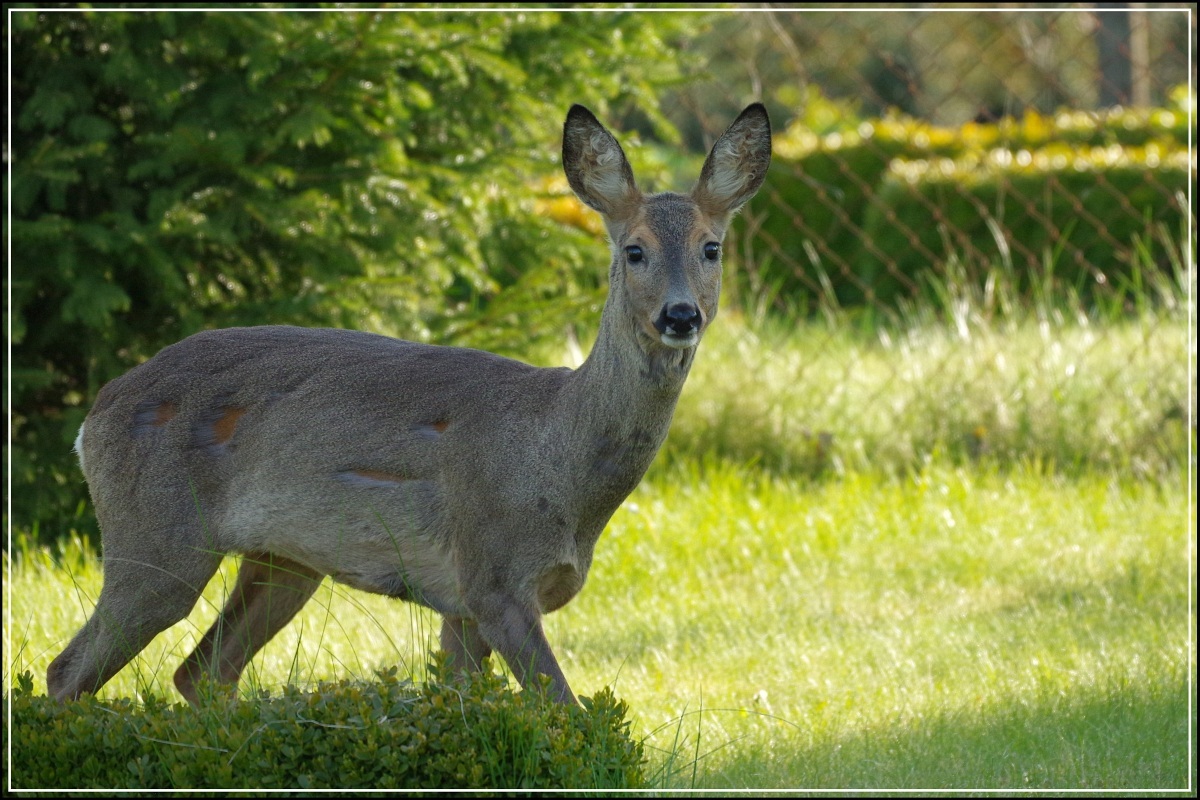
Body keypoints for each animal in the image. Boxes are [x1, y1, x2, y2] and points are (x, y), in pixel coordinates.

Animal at [46, 101, 772, 705]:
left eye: (712, 248)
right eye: (635, 250)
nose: (680, 315)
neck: (557, 458)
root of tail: (95, 416)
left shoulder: (462, 602)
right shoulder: (493, 572)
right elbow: (565, 710)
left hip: (282, 559)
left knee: (201, 671)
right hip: (157, 533)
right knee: (69, 670)